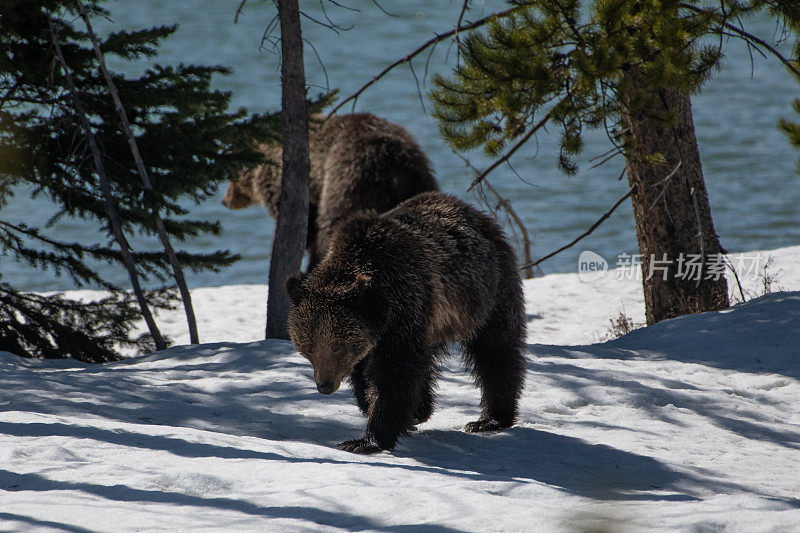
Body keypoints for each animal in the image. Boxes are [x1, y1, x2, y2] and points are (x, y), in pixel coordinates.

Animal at [222, 114, 440, 268]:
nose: (225, 200)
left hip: (348, 177)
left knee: (332, 223)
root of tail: (392, 158)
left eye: (230, 173)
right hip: (417, 179)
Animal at [284, 191, 528, 454]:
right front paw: (398, 412)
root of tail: (473, 211)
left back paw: (490, 418)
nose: (325, 385)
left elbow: (396, 372)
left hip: (488, 290)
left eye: (336, 346)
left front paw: (367, 440)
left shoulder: (405, 307)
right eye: (308, 348)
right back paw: (424, 407)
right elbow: (366, 372)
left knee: (496, 350)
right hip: (439, 317)